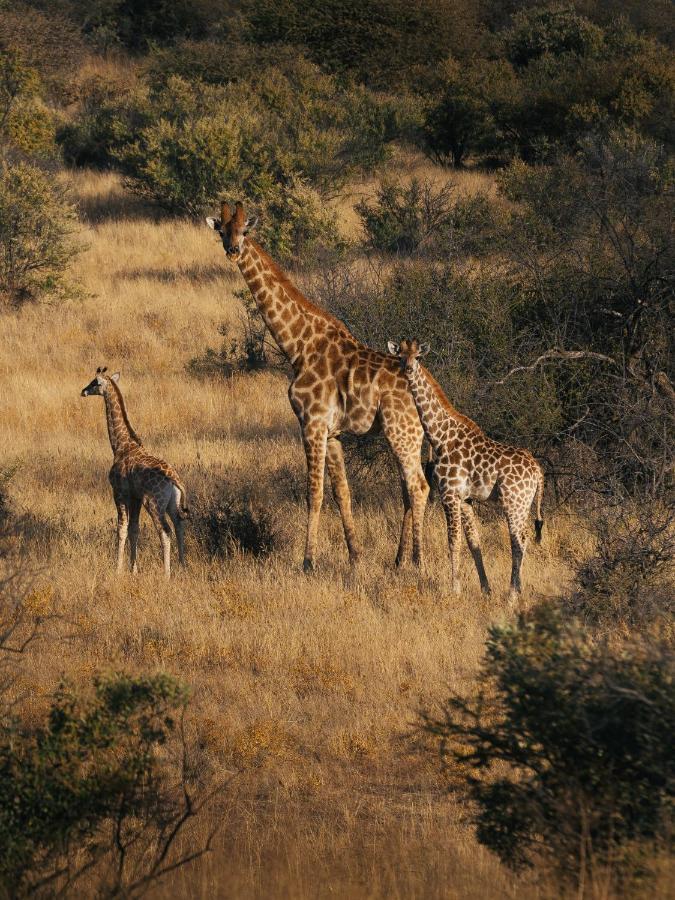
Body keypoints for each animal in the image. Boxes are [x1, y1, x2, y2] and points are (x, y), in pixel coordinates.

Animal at [81, 366, 189, 576]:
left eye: (94, 382)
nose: (83, 391)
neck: (121, 445)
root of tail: (174, 479)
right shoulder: (135, 497)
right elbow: (134, 529)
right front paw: (133, 569)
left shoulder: (120, 492)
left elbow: (121, 529)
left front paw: (118, 569)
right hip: (172, 503)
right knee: (179, 525)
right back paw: (182, 565)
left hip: (153, 502)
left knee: (165, 531)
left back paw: (166, 574)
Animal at [206, 201, 428, 572]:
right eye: (221, 230)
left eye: (245, 230)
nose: (233, 251)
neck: (298, 345)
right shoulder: (333, 432)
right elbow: (342, 493)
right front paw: (356, 557)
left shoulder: (311, 422)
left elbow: (314, 492)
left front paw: (307, 561)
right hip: (407, 434)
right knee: (407, 488)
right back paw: (398, 560)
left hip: (402, 432)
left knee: (419, 487)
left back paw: (417, 561)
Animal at [390, 342, 544, 600]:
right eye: (400, 356)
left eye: (418, 356)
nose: (409, 369)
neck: (440, 436)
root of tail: (539, 472)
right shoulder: (466, 499)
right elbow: (474, 542)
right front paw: (485, 588)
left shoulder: (449, 494)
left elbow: (453, 541)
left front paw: (455, 589)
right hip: (524, 503)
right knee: (523, 538)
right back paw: (518, 589)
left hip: (513, 502)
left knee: (518, 540)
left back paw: (512, 595)